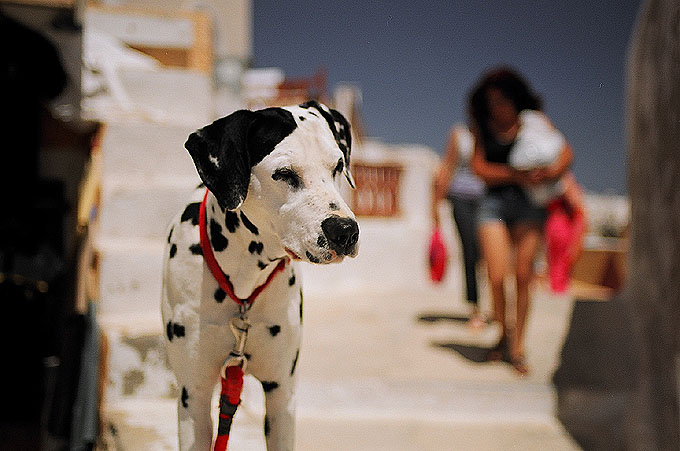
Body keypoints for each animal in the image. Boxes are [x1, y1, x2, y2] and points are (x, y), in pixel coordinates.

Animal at [161, 102, 358, 451]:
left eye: (337, 166)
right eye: (284, 174)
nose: (346, 231)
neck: (243, 283)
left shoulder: (282, 394)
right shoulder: (192, 397)